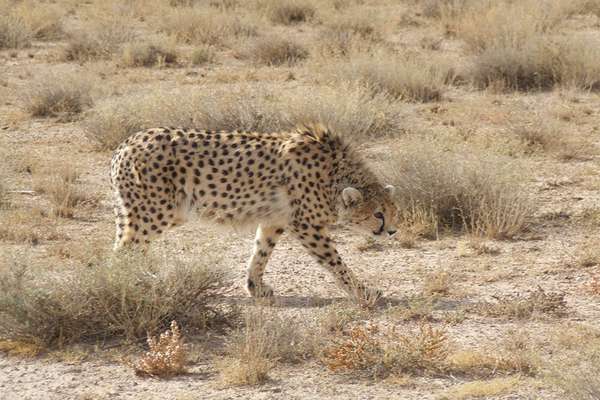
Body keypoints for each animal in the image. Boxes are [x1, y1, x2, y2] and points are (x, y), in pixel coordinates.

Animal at [111, 125, 398, 306]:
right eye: (378, 214)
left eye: (393, 212)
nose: (392, 231)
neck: (333, 176)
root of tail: (126, 143)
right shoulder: (306, 225)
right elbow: (336, 263)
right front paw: (364, 292)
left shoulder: (275, 220)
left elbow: (261, 253)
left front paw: (255, 288)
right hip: (154, 213)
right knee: (124, 252)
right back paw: (133, 285)